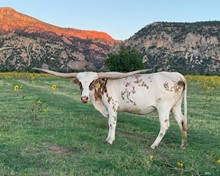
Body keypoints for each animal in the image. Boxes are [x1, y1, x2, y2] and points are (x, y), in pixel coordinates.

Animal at [33, 68, 187, 149]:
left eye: (92, 83)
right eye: (80, 84)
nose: (84, 98)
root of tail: (177, 75)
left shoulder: (112, 107)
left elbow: (112, 123)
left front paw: (110, 140)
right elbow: (109, 124)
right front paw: (108, 138)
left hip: (163, 107)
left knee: (165, 125)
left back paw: (154, 145)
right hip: (175, 106)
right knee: (182, 121)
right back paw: (183, 144)